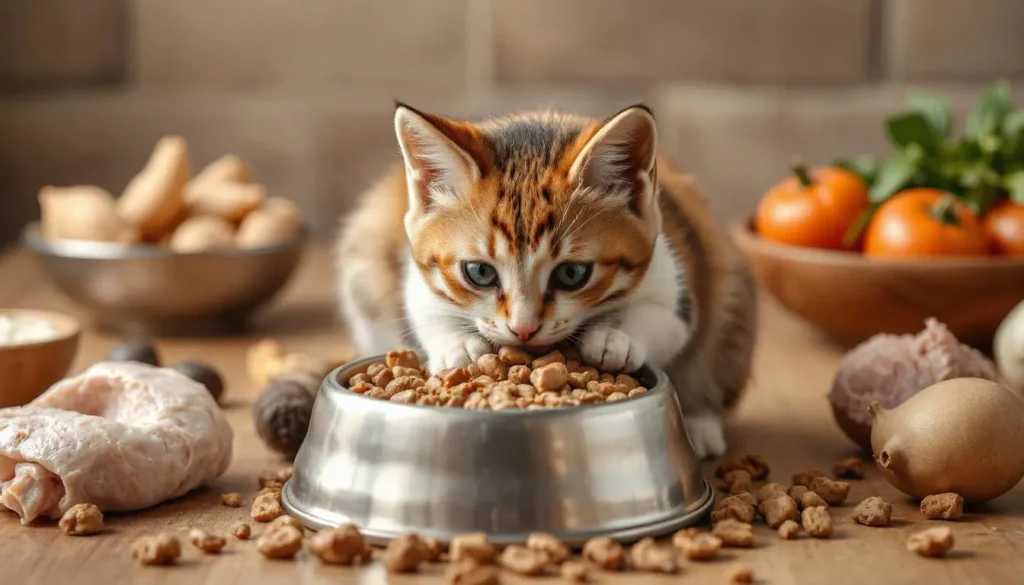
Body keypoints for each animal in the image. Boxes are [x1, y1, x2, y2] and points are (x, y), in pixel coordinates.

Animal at [331, 103, 757, 456]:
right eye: (479, 272)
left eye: (572, 274)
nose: (523, 329)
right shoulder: (417, 277)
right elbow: (425, 308)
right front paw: (460, 347)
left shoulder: (675, 268)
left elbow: (668, 319)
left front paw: (614, 337)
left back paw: (699, 425)